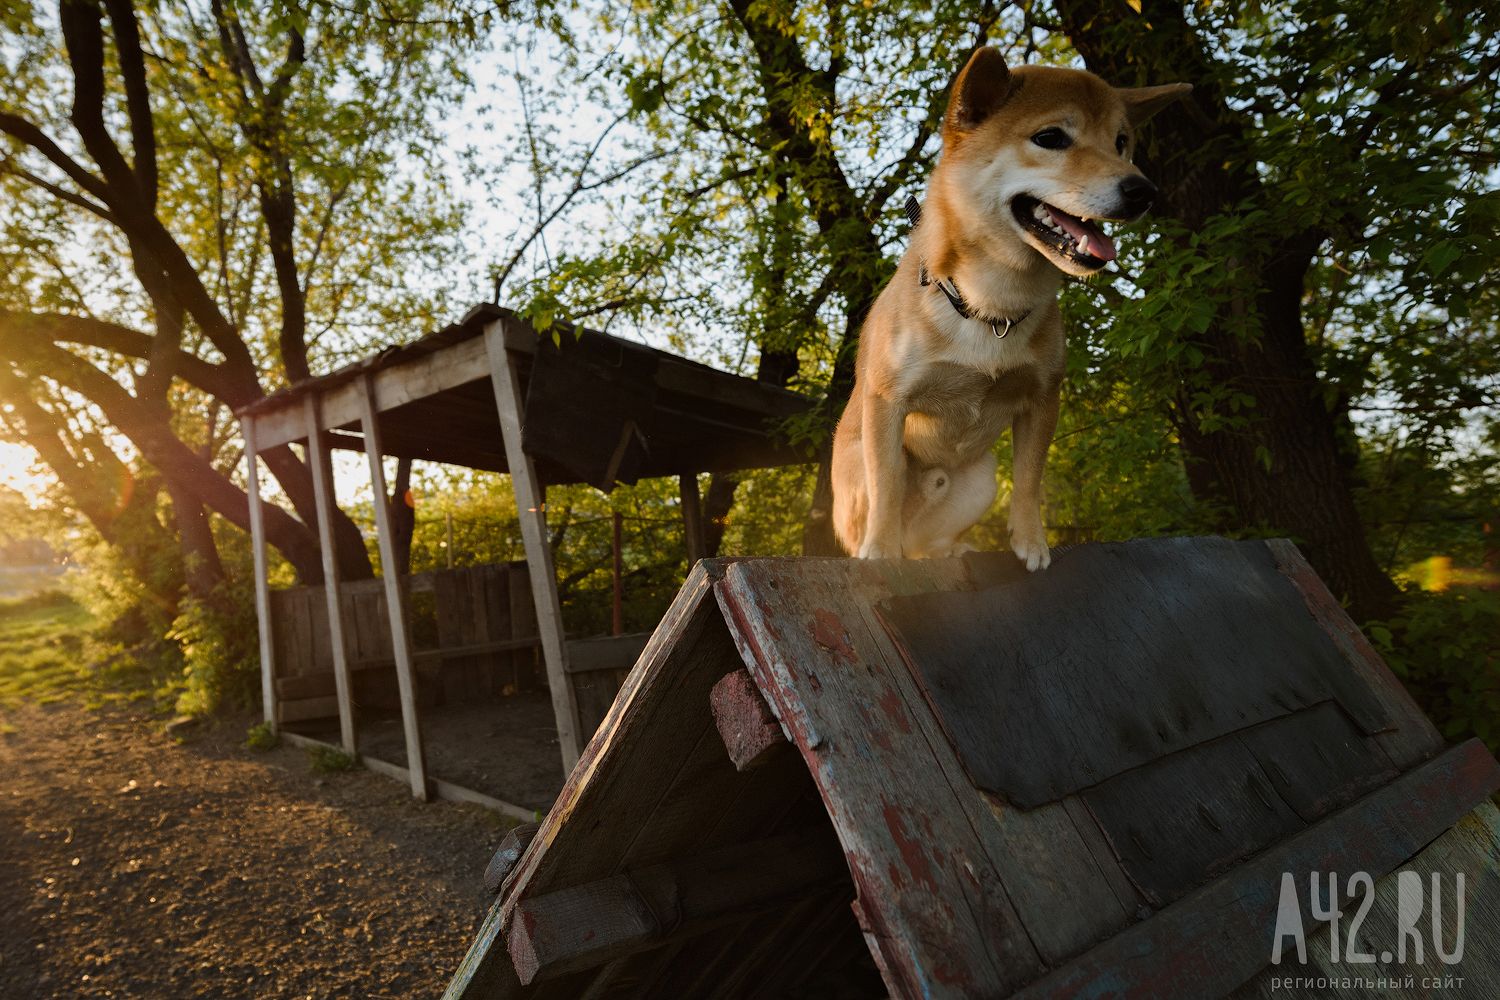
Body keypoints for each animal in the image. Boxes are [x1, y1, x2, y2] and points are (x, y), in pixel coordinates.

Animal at [828, 44, 1188, 569]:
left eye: (1121, 142)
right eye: (1050, 138)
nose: (1143, 190)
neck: (989, 302)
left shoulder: (1042, 398)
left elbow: (1030, 480)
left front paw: (1031, 540)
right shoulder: (887, 401)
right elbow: (888, 485)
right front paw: (880, 551)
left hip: (978, 481)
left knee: (932, 539)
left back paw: (952, 548)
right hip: (857, 472)